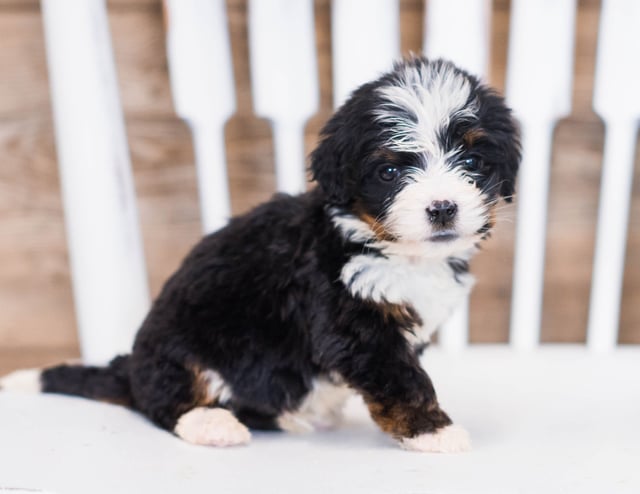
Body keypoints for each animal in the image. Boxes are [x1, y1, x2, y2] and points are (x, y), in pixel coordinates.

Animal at [0, 56, 520, 454]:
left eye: (472, 162)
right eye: (390, 172)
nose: (443, 207)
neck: (394, 250)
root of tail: (132, 369)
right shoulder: (352, 320)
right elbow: (401, 378)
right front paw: (433, 431)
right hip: (186, 346)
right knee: (169, 399)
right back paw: (212, 423)